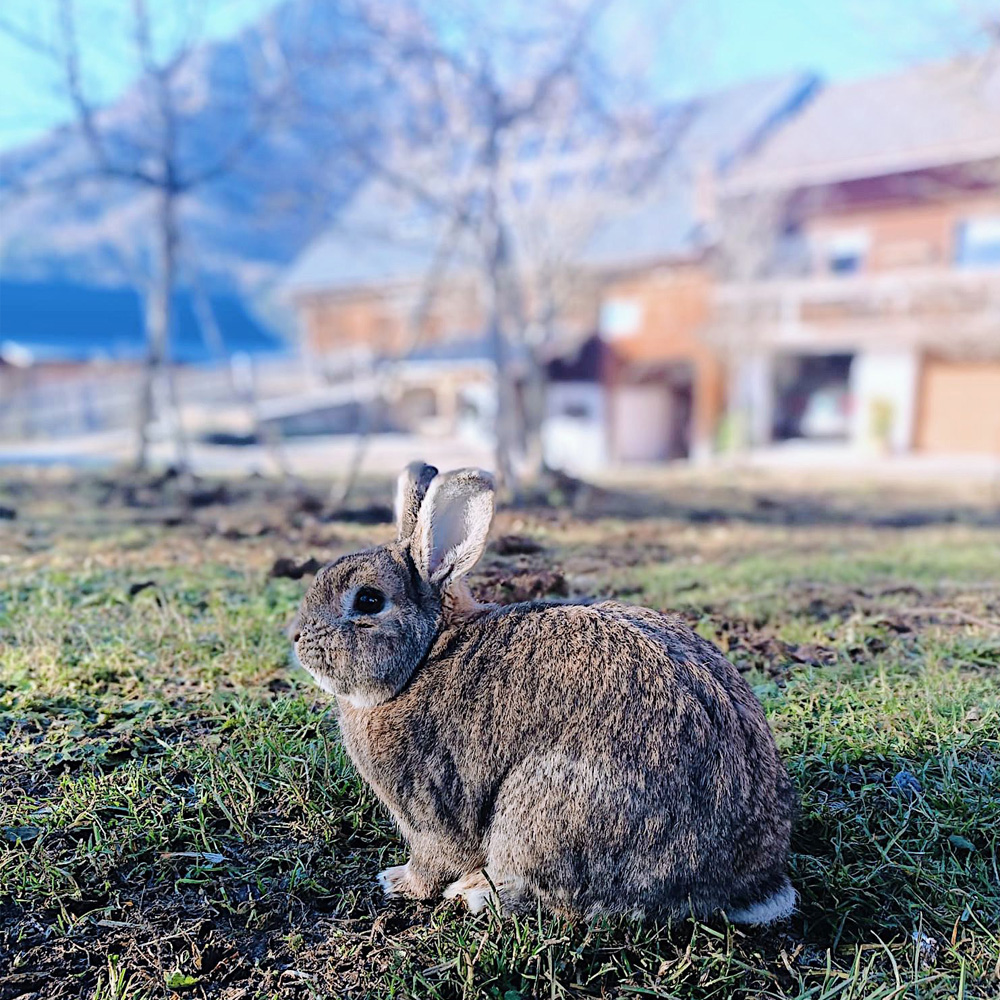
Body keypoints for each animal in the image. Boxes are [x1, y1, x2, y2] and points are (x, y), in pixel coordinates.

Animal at [291, 462, 797, 923]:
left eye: (368, 601)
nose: (297, 638)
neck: (426, 654)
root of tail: (743, 885)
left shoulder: (429, 805)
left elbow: (433, 860)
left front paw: (397, 882)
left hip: (545, 812)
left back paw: (476, 892)